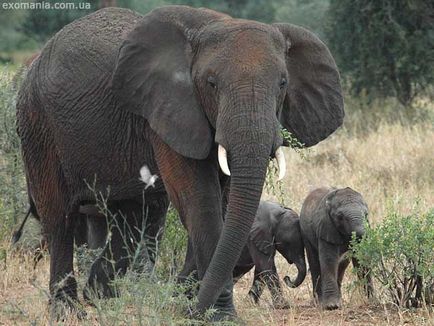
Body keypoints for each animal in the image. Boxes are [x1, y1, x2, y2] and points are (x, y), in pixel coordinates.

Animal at [16, 5, 342, 320]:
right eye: (211, 84)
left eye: (283, 83)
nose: (193, 306)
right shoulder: (170, 109)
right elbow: (199, 200)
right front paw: (218, 315)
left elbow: (223, 201)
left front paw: (189, 306)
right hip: (37, 124)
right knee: (60, 217)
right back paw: (68, 311)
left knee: (137, 217)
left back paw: (101, 297)